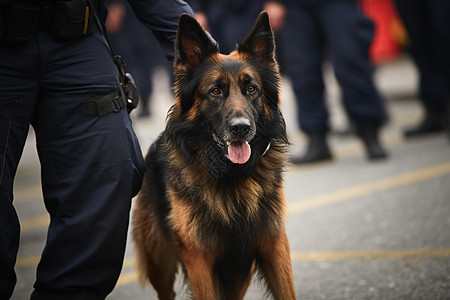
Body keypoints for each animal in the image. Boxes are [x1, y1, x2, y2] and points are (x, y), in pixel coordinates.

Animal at [132, 11, 298, 300]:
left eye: (251, 89)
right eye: (215, 91)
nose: (241, 128)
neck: (232, 176)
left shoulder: (272, 242)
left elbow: (287, 291)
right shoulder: (199, 258)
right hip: (160, 264)